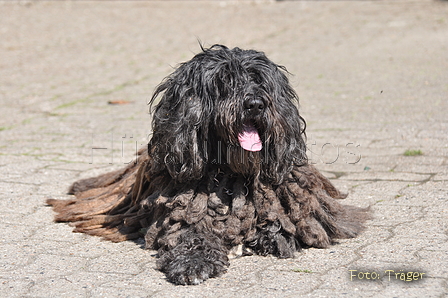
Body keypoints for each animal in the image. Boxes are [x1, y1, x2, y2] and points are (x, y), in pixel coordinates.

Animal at [47, 44, 370, 284]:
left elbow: (281, 224)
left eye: (258, 80)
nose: (255, 104)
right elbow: (191, 234)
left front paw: (265, 237)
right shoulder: (182, 211)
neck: (232, 173)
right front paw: (193, 263)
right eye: (224, 82)